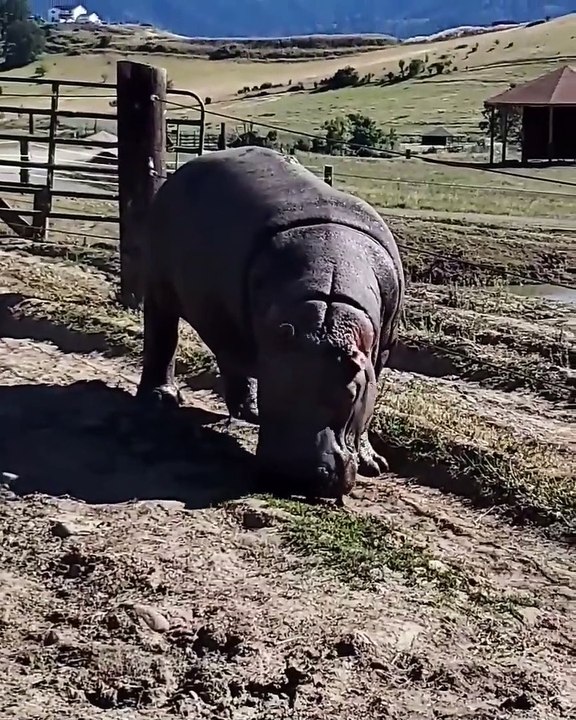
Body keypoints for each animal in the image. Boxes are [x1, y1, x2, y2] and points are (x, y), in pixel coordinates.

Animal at [136, 146, 404, 502]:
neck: (328, 307)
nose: (298, 475)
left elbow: (369, 408)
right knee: (162, 334)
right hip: (159, 286)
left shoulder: (379, 354)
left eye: (351, 392)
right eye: (273, 384)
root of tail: (178, 174)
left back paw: (248, 412)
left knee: (229, 356)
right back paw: (160, 400)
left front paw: (374, 464)